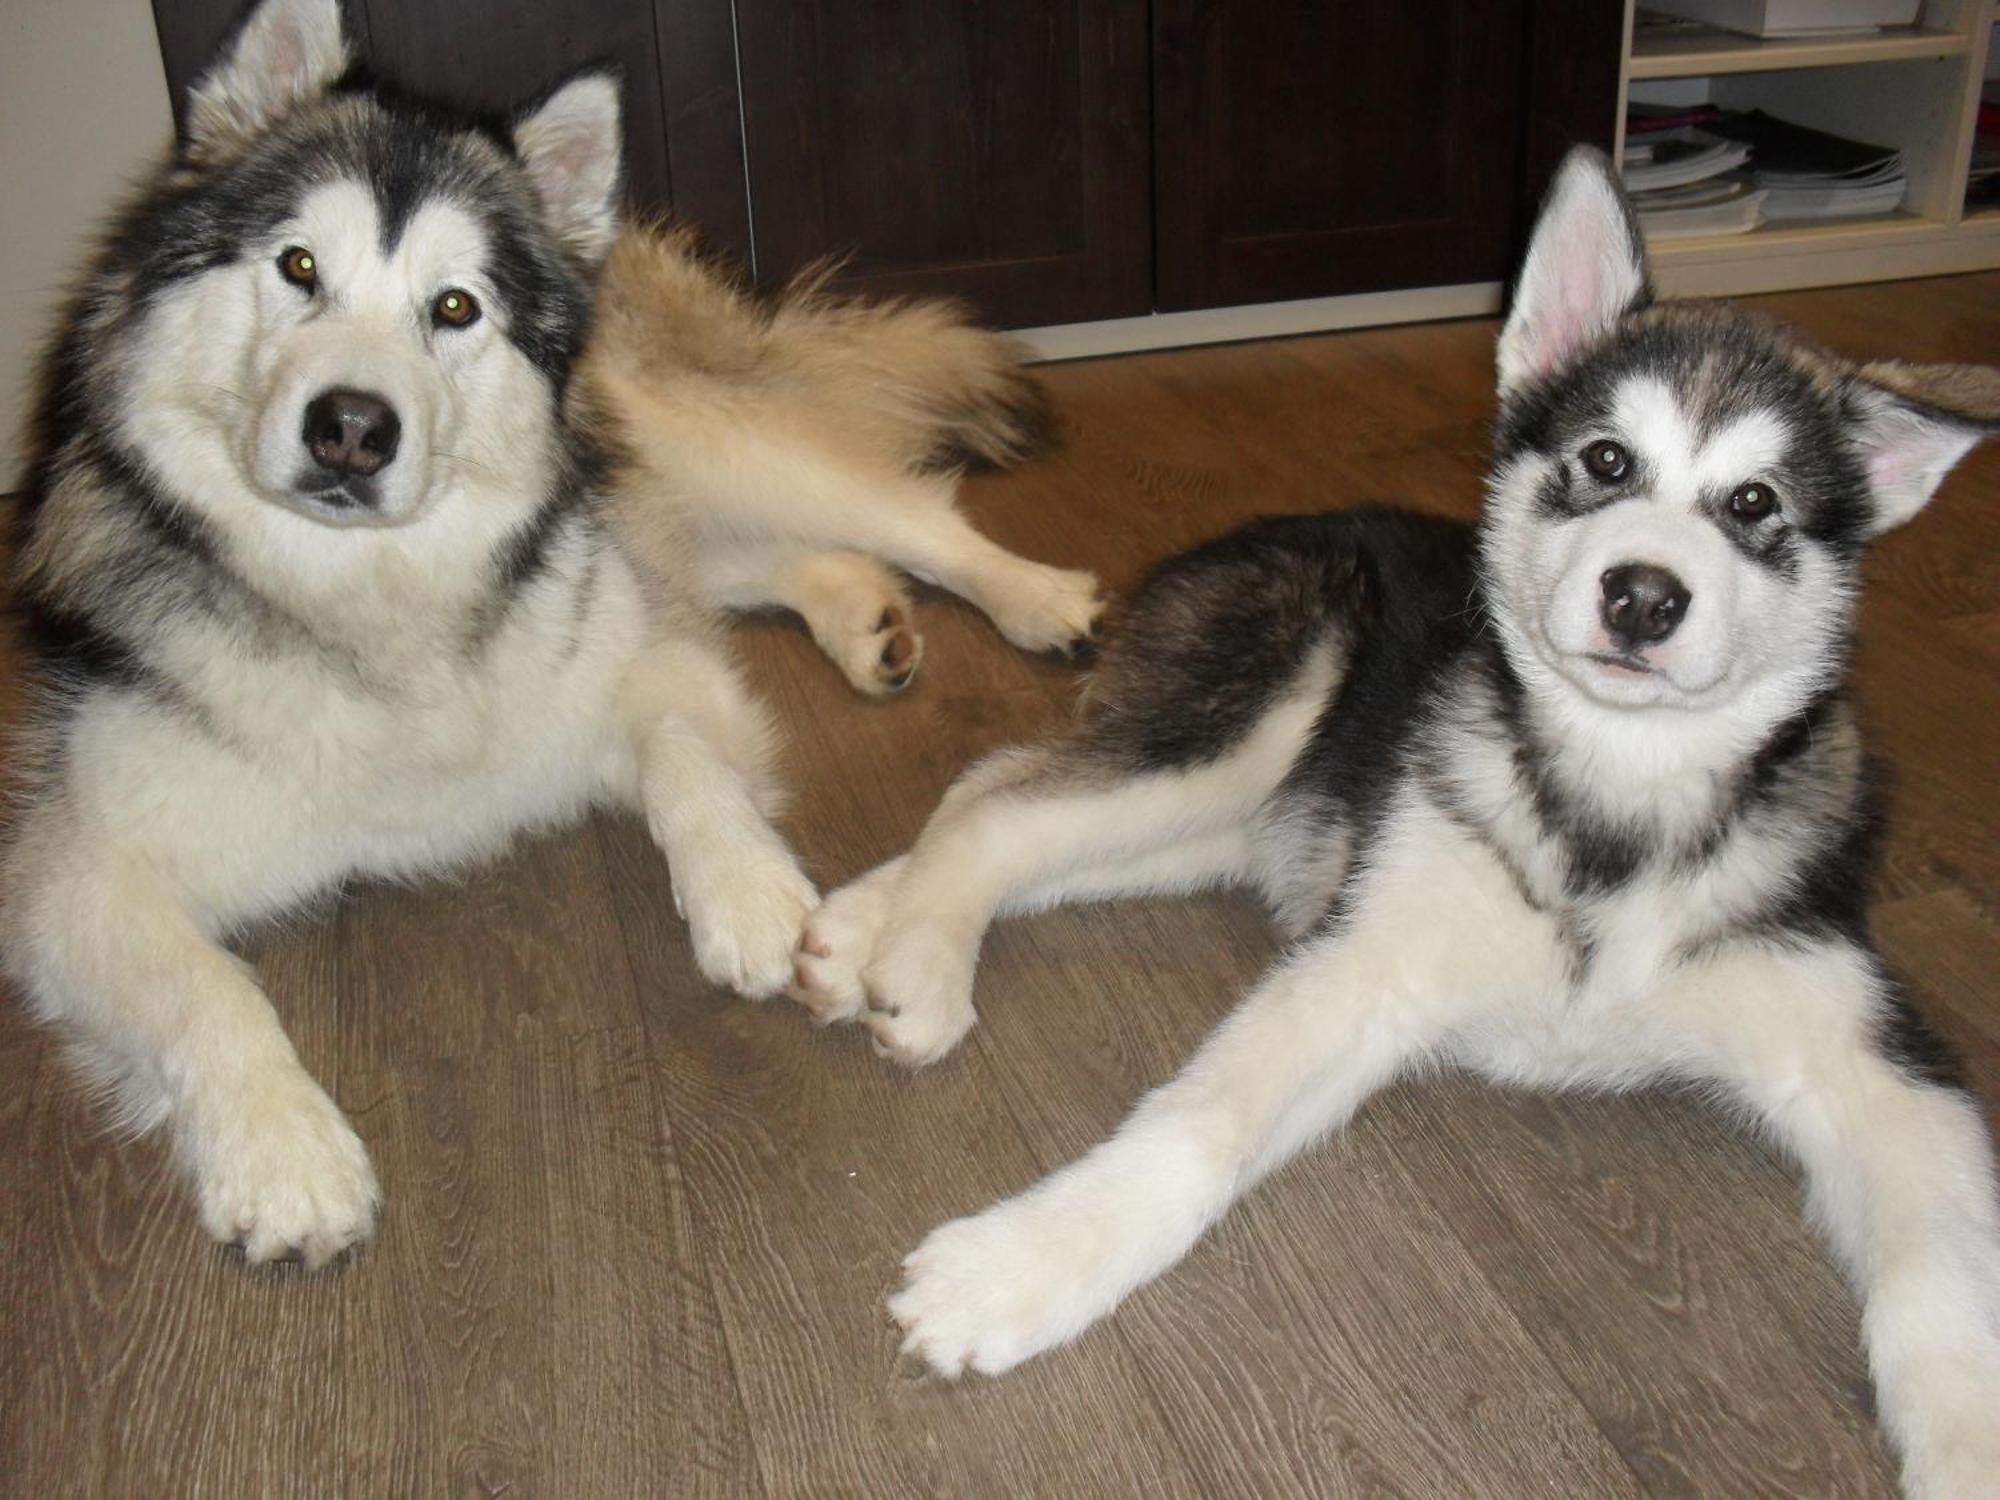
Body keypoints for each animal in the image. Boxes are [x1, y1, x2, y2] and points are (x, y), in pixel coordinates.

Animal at [0, 0, 1096, 1272]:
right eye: (298, 266)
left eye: (455, 307)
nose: (350, 429)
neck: (375, 599)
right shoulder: (75, 868)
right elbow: (204, 984)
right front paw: (281, 1148)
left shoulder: (645, 651)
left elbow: (682, 750)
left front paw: (746, 894)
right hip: (648, 488)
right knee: (765, 558)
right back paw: (863, 619)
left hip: (695, 443)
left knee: (905, 514)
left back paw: (1037, 598)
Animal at [792, 150, 2000, 1496]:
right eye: (1604, 461)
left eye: (1753, 502)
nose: (1641, 595)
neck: (1610, 803)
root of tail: (1247, 532)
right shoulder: (1363, 960)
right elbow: (1196, 1126)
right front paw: (1019, 1265)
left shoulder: (1879, 1062)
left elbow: (1943, 1285)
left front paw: (1965, 1442)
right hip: (1268, 707)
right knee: (995, 796)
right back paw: (918, 962)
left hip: (1257, 811)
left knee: (1021, 796)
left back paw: (857, 930)